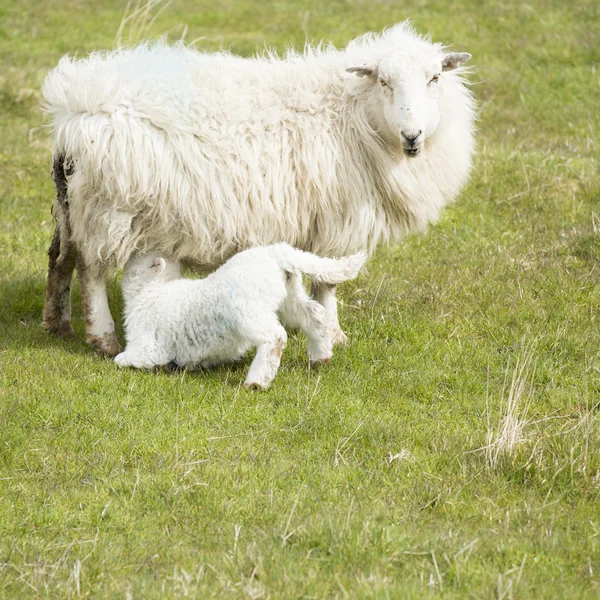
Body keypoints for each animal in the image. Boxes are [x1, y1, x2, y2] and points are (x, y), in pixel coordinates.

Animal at [39, 21, 476, 354]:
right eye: (384, 81)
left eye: (435, 77)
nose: (412, 136)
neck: (350, 112)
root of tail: (72, 112)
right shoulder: (337, 223)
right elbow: (329, 283)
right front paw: (335, 335)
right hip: (107, 207)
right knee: (91, 269)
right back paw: (103, 337)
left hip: (74, 205)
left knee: (60, 257)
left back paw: (56, 323)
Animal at [115, 244, 364, 390]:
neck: (150, 291)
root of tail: (277, 253)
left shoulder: (148, 346)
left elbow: (122, 359)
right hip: (288, 295)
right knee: (314, 314)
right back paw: (320, 357)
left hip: (248, 309)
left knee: (275, 336)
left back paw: (256, 382)